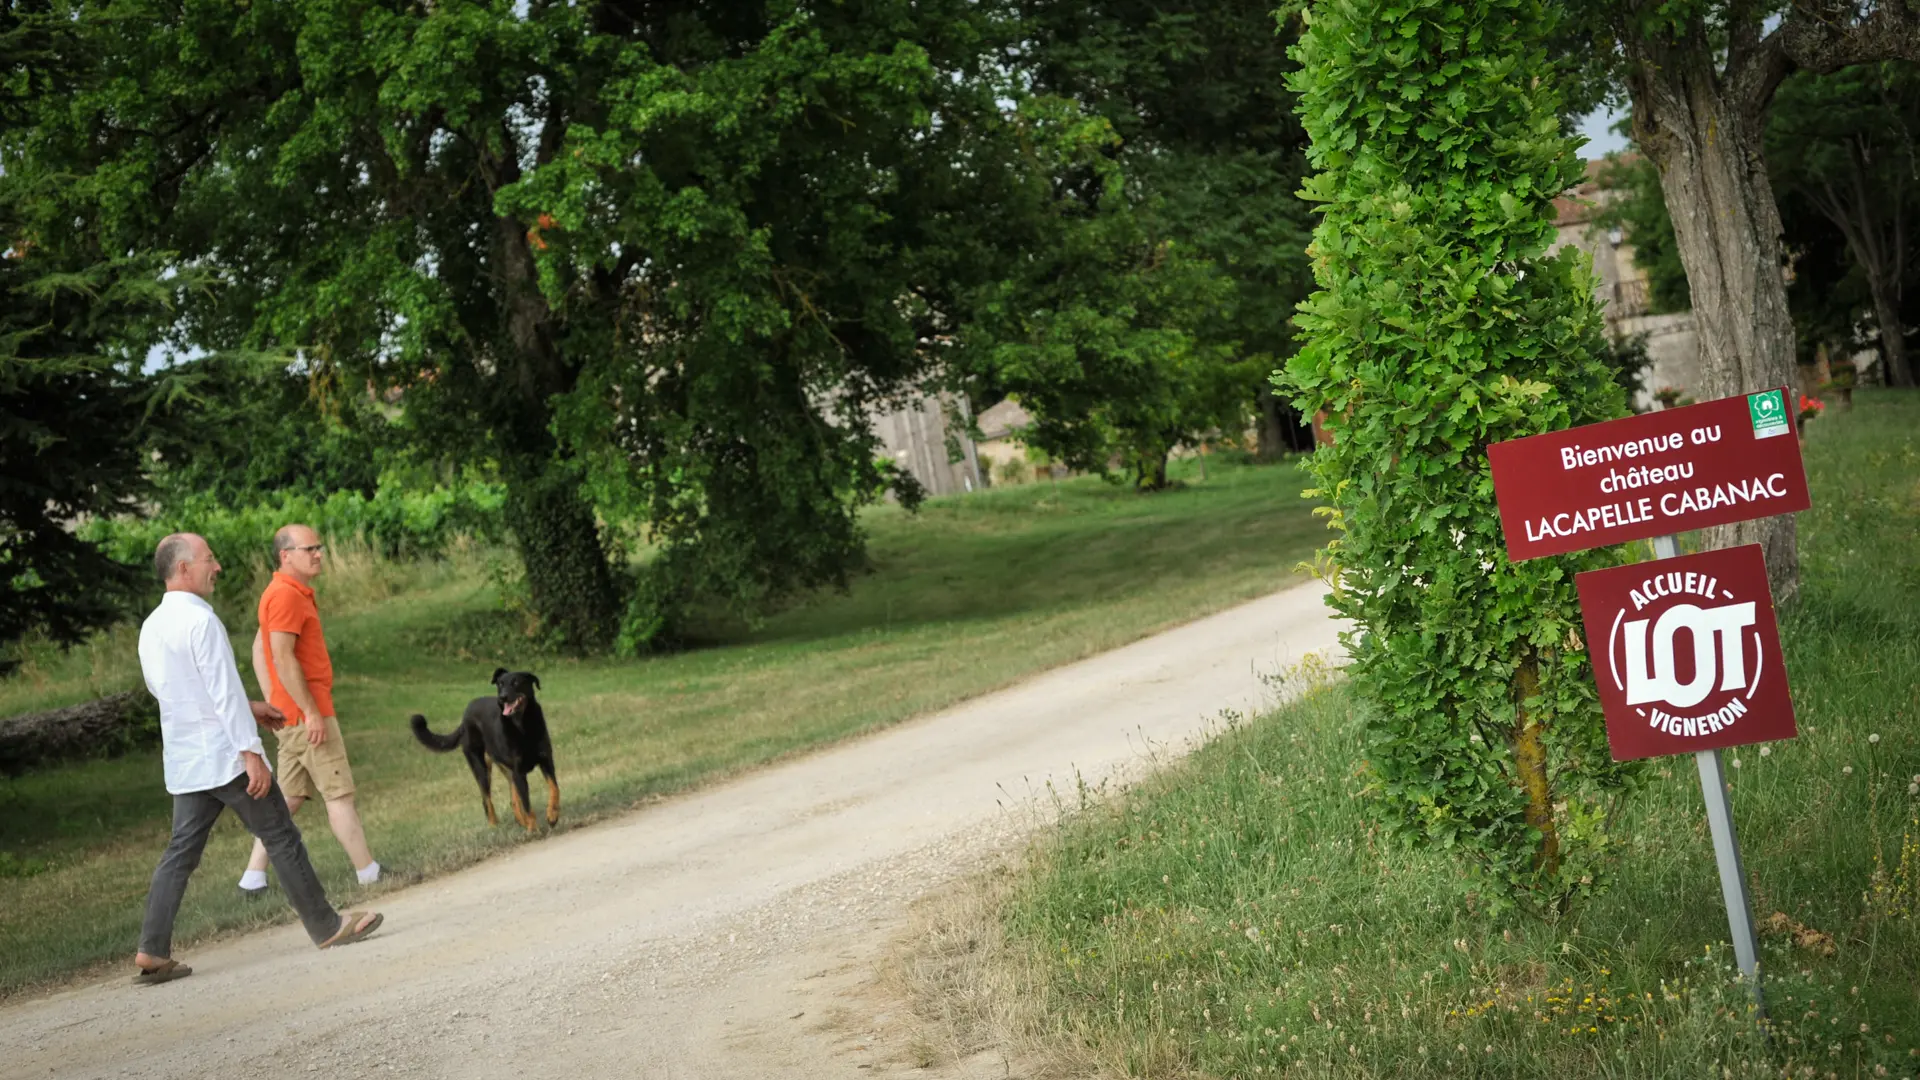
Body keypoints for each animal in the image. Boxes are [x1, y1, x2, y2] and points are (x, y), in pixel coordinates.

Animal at [405, 668, 556, 826]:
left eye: (515, 682)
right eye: (500, 684)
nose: (502, 698)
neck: (522, 725)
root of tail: (464, 719)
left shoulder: (545, 760)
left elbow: (554, 788)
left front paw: (552, 814)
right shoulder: (518, 772)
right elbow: (527, 806)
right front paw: (535, 828)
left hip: (505, 769)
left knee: (513, 800)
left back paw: (521, 822)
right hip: (481, 767)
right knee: (486, 800)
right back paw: (495, 826)